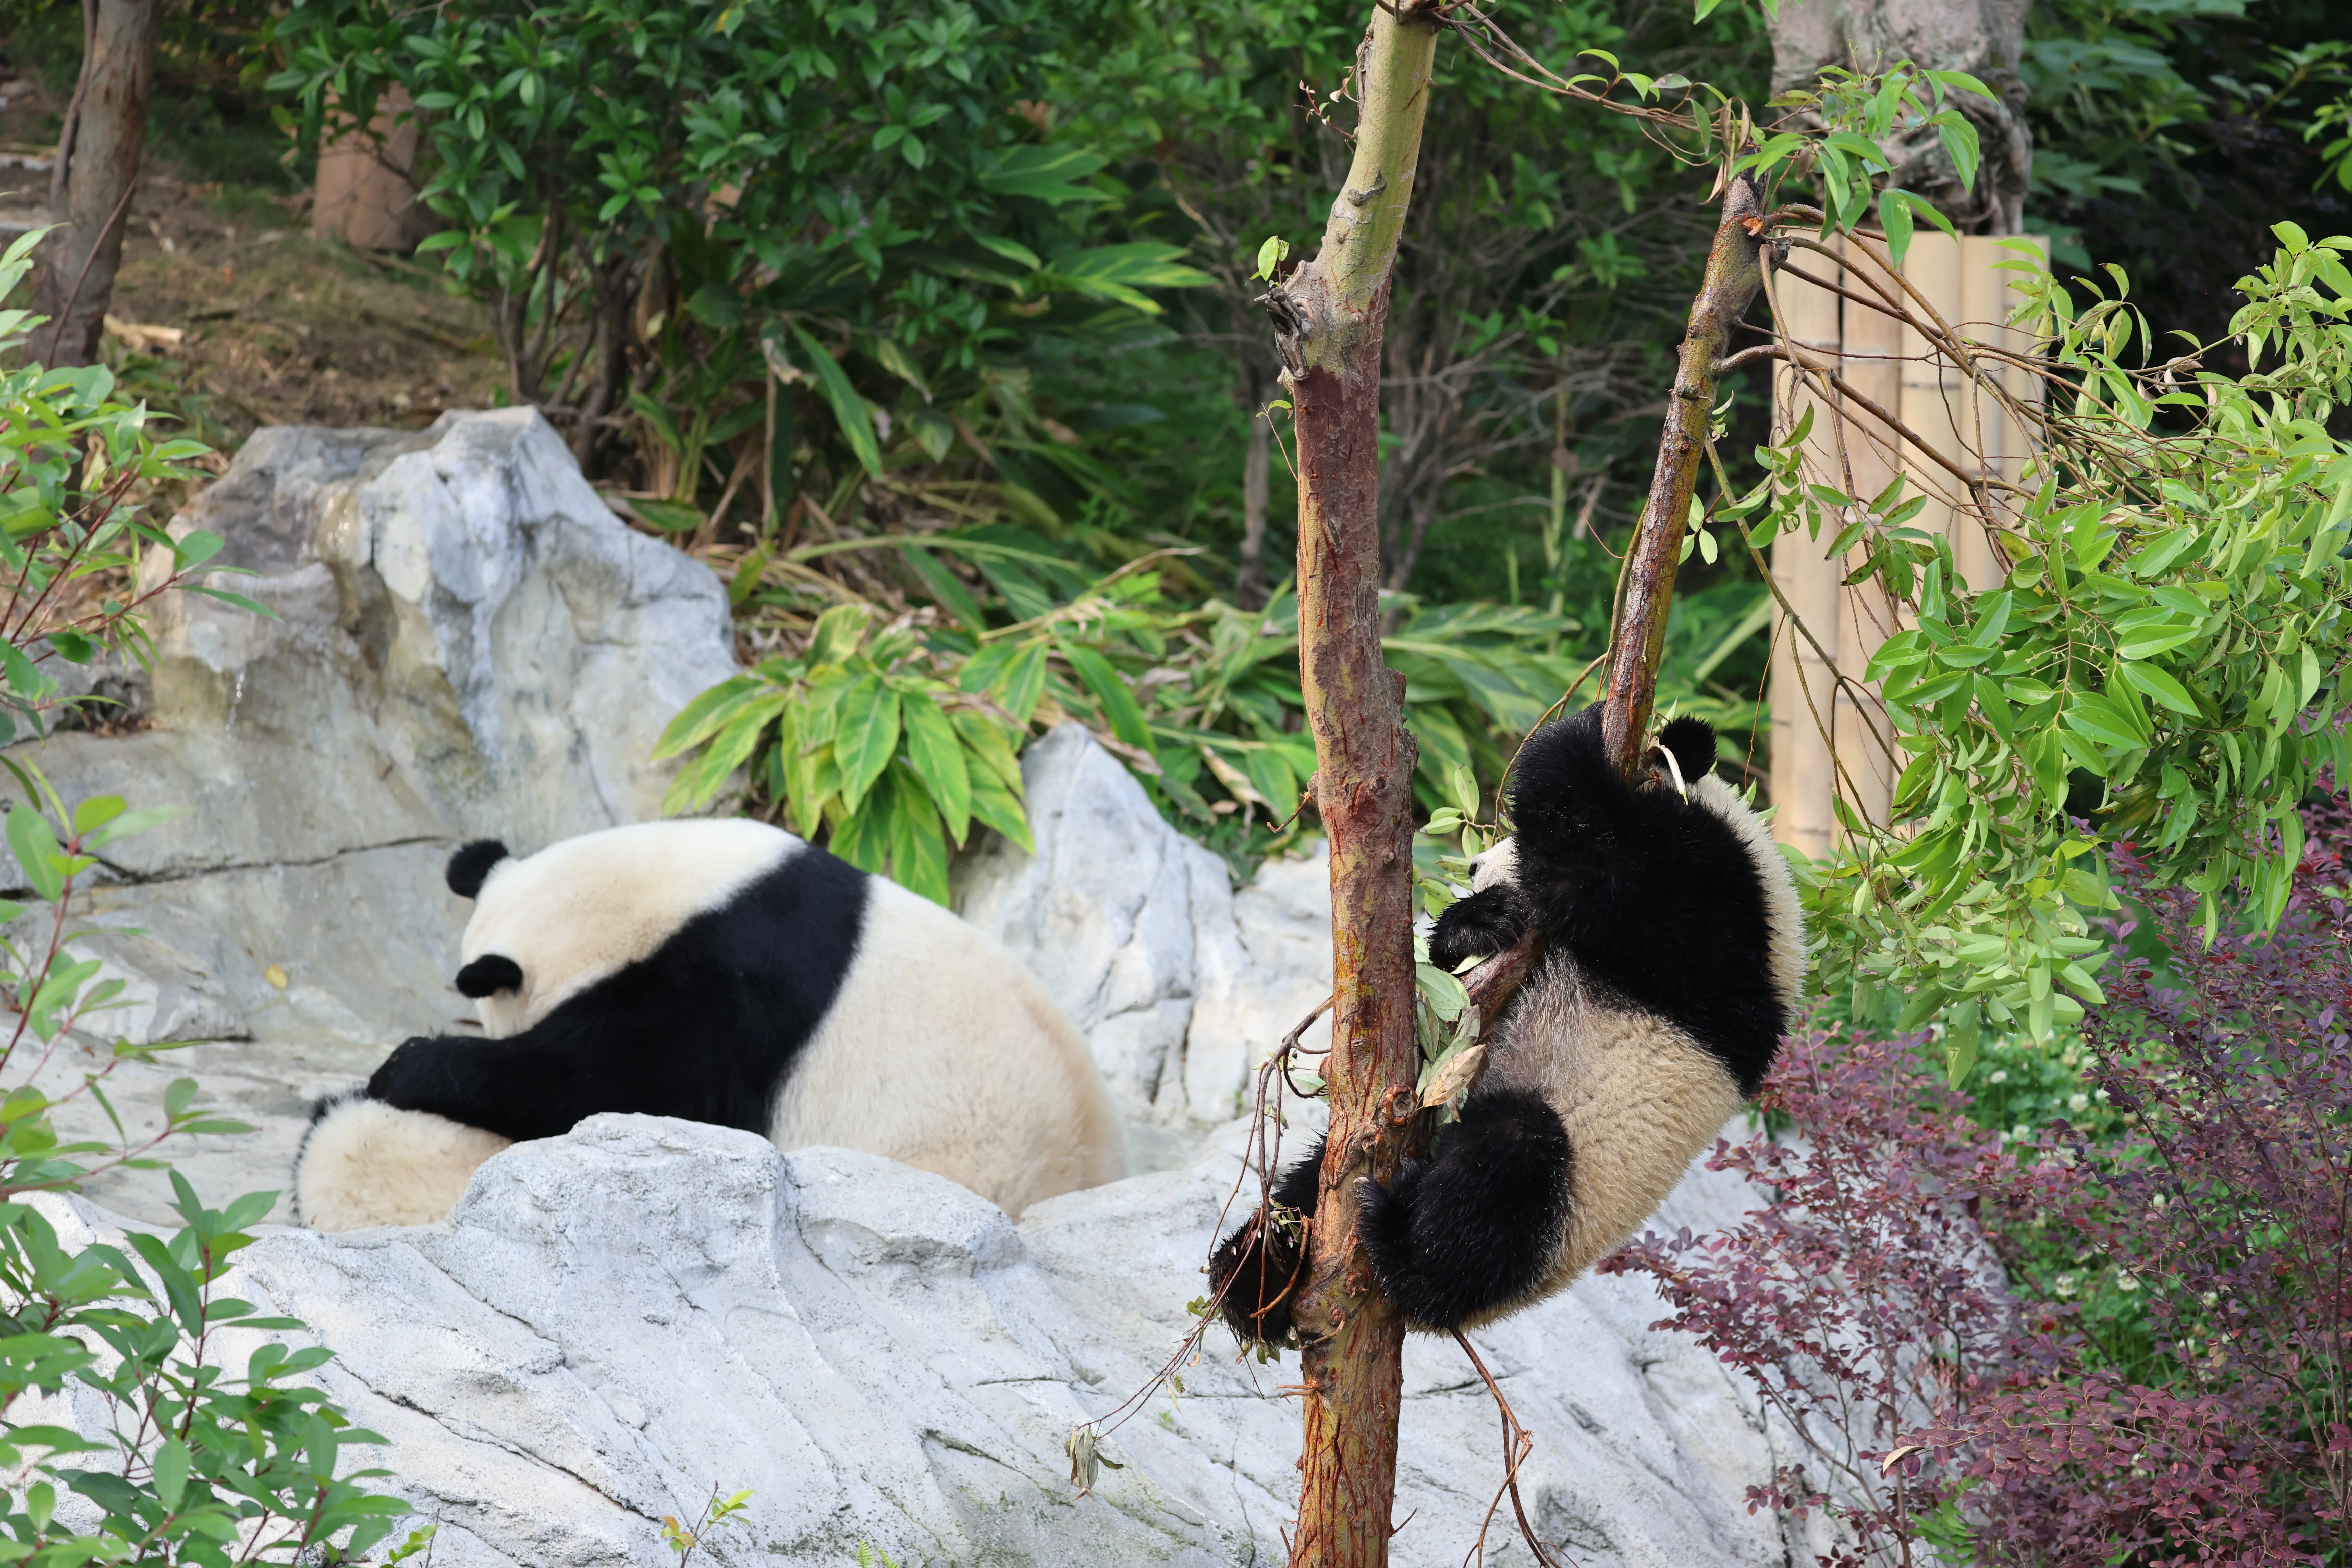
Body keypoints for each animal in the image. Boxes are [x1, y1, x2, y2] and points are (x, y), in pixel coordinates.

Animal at [1209, 706, 1803, 1340]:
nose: (1473, 865)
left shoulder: (1716, 920)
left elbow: (1597, 867)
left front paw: (1576, 738)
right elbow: (1456, 986)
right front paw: (1477, 923)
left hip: (1564, 1197)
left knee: (1495, 1184)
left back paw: (1398, 1244)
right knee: (1315, 1177)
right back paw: (1257, 1271)